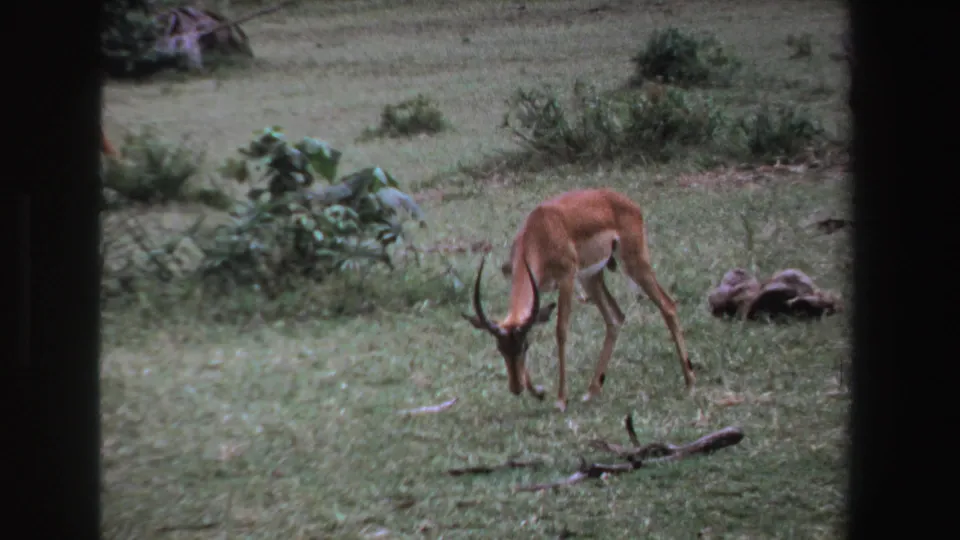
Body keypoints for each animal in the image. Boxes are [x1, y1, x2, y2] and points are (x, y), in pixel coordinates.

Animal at [463, 188, 695, 412]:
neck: (539, 230)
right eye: (501, 348)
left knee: (668, 305)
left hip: (634, 263)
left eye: (524, 347)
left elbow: (561, 331)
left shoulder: (567, 279)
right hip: (591, 278)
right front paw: (538, 392)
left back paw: (690, 381)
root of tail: (627, 202)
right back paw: (592, 391)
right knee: (615, 318)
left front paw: (561, 400)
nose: (516, 388)